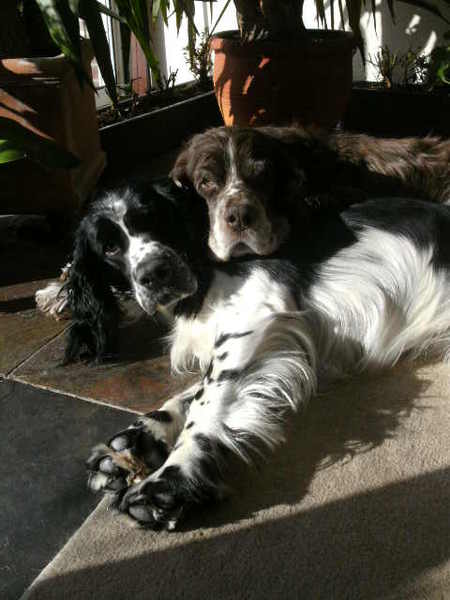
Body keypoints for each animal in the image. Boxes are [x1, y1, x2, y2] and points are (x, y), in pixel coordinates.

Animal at [62, 178, 450, 528]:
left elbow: (204, 403)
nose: (156, 272)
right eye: (109, 249)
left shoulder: (255, 314)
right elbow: (185, 397)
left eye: (155, 217)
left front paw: (170, 481)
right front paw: (136, 442)